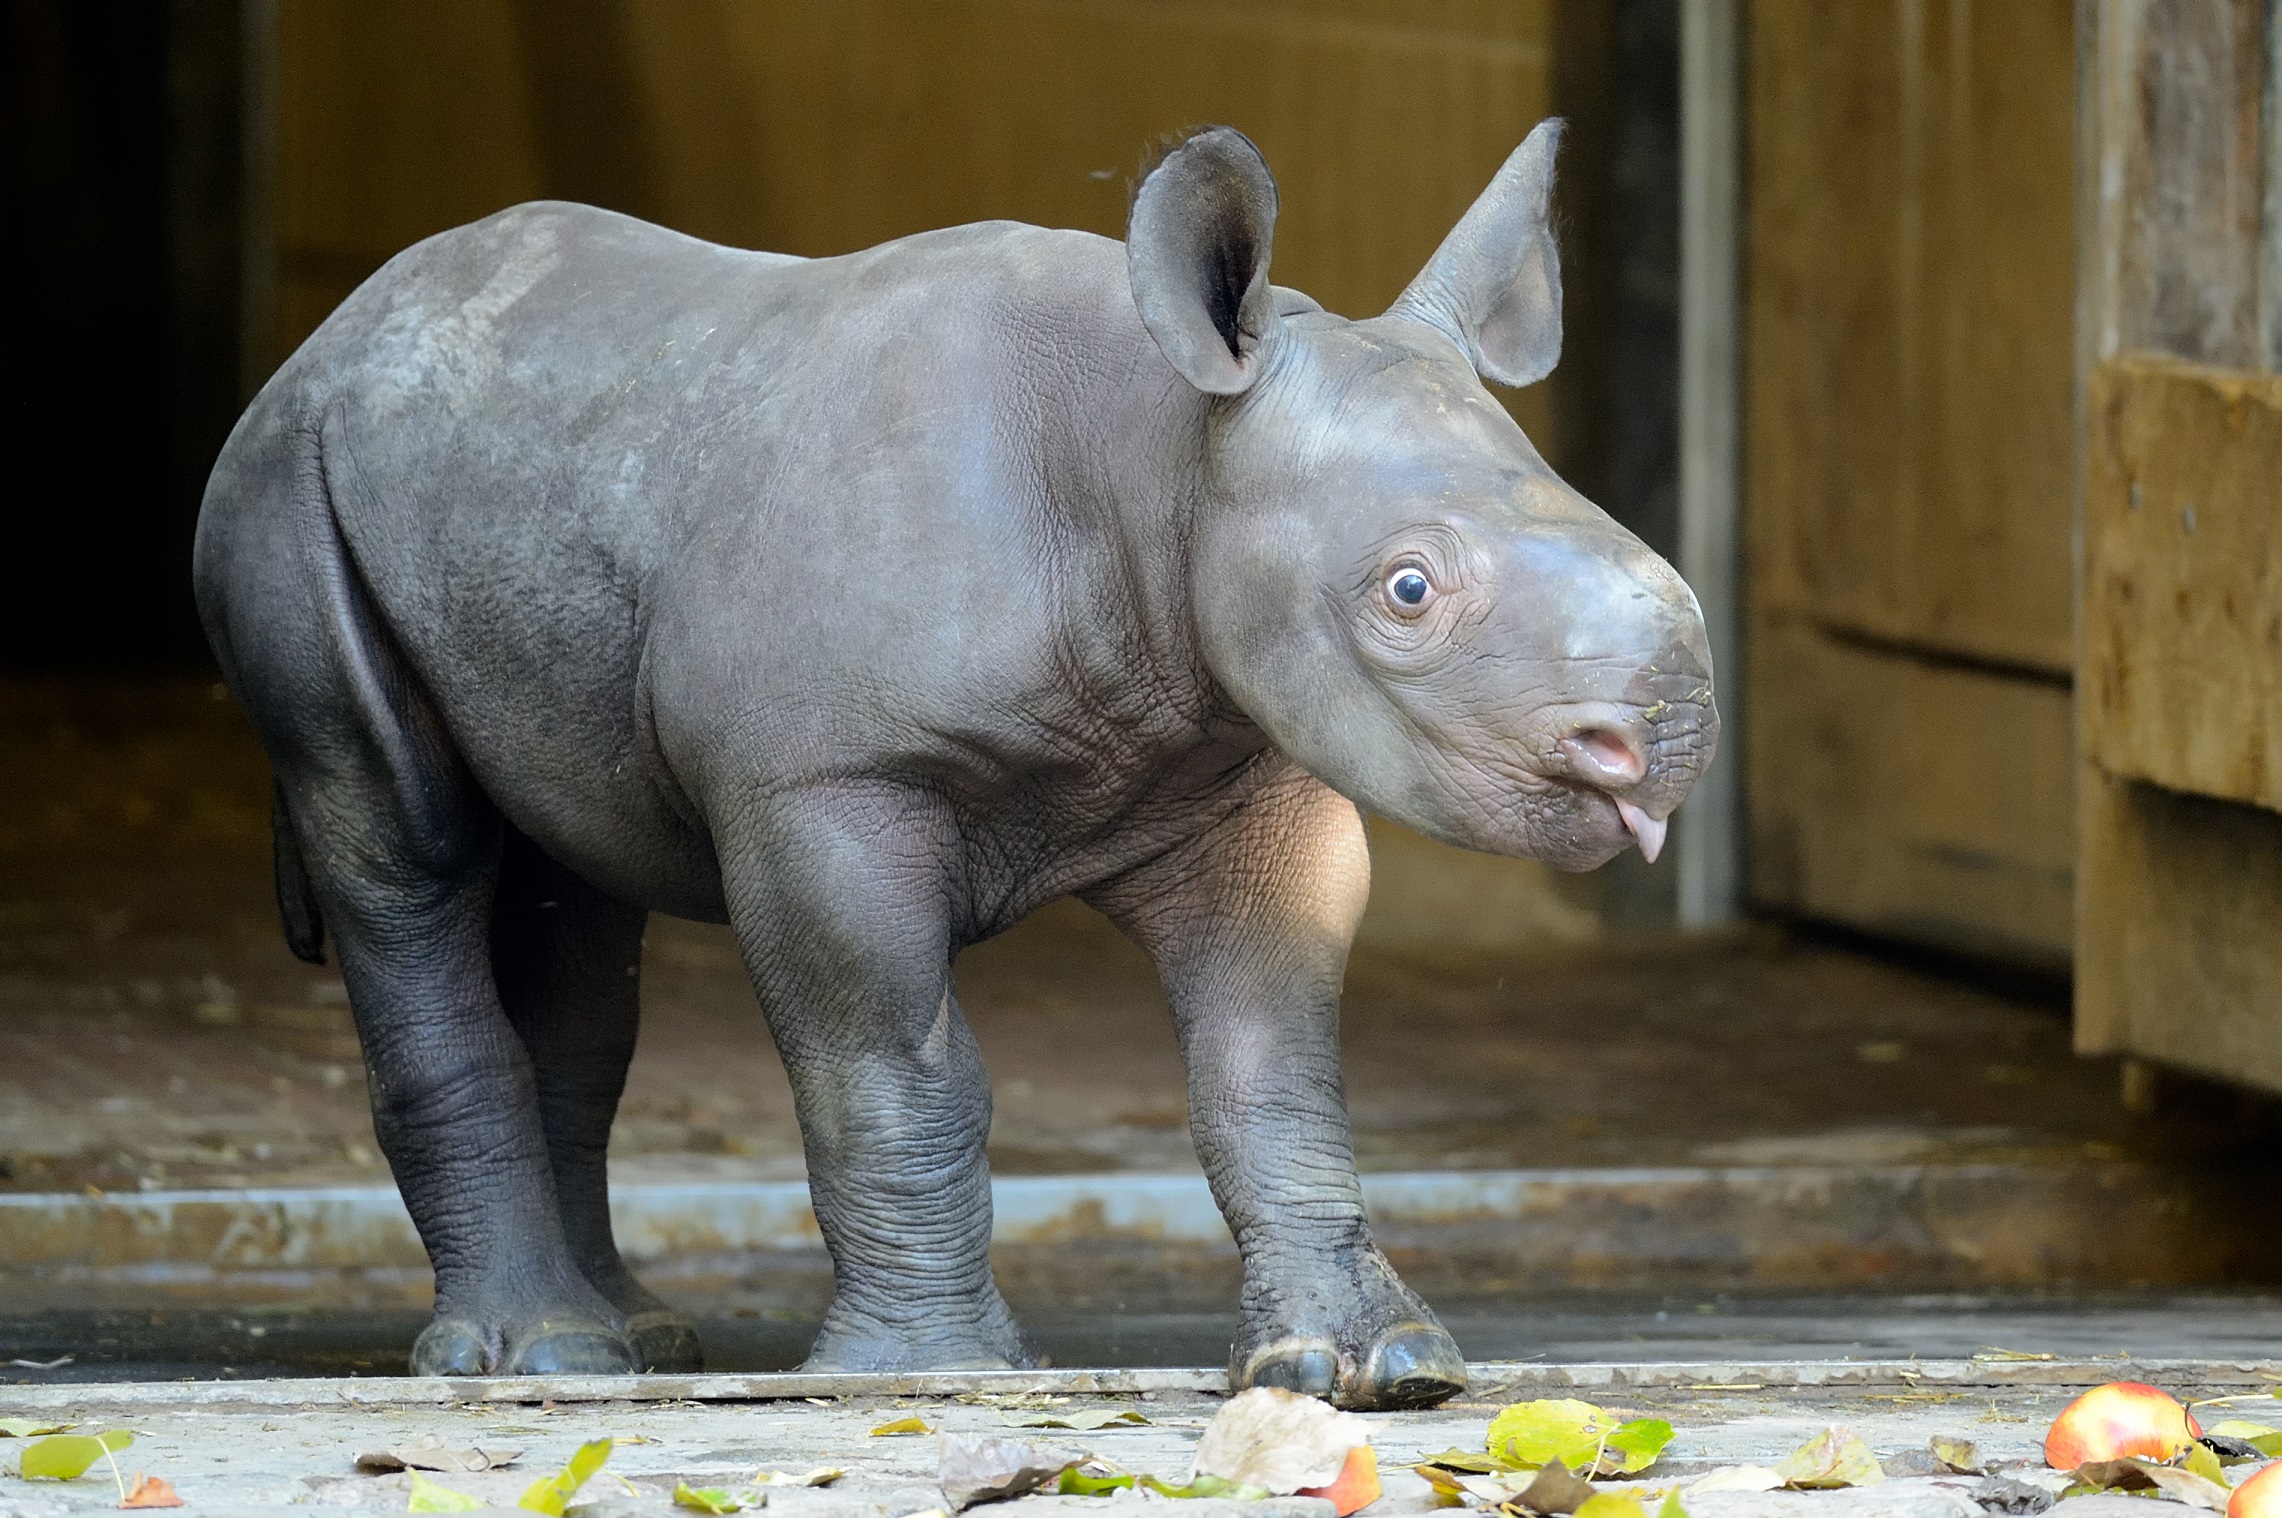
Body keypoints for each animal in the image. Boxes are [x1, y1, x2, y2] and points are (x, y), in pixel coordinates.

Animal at [200, 121, 1716, 1406]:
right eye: (1407, 591)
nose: (1663, 740)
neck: (1160, 461)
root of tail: (325, 337)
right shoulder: (823, 787)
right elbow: (891, 1068)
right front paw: (930, 1376)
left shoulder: (1236, 773)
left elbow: (1269, 1070)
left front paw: (1369, 1367)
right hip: (286, 484)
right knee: (404, 848)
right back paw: (540, 1358)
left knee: (573, 903)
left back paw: (632, 1341)